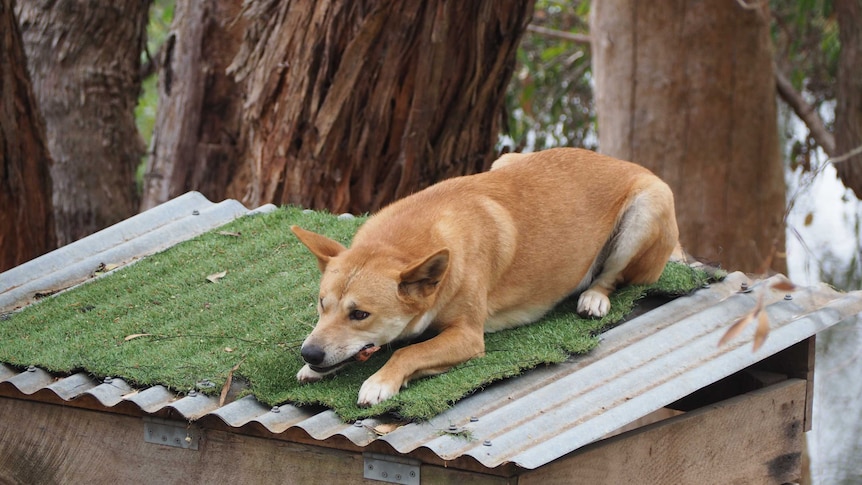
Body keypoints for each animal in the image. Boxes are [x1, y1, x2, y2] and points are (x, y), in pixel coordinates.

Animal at [294, 147, 680, 404]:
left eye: (360, 314)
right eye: (321, 305)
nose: (309, 353)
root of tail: (623, 162)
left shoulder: (467, 336)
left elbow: (408, 353)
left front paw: (380, 382)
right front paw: (317, 369)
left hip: (648, 207)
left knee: (611, 277)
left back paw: (594, 297)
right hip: (507, 158)